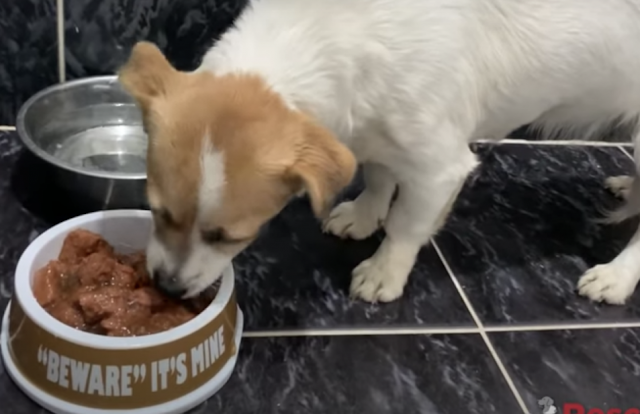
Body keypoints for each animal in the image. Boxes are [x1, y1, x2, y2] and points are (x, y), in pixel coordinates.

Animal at [117, 0, 640, 304]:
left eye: (229, 237)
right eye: (156, 211)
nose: (166, 287)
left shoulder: (440, 168)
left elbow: (407, 224)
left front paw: (385, 270)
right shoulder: (374, 132)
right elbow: (378, 176)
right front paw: (365, 215)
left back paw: (617, 277)